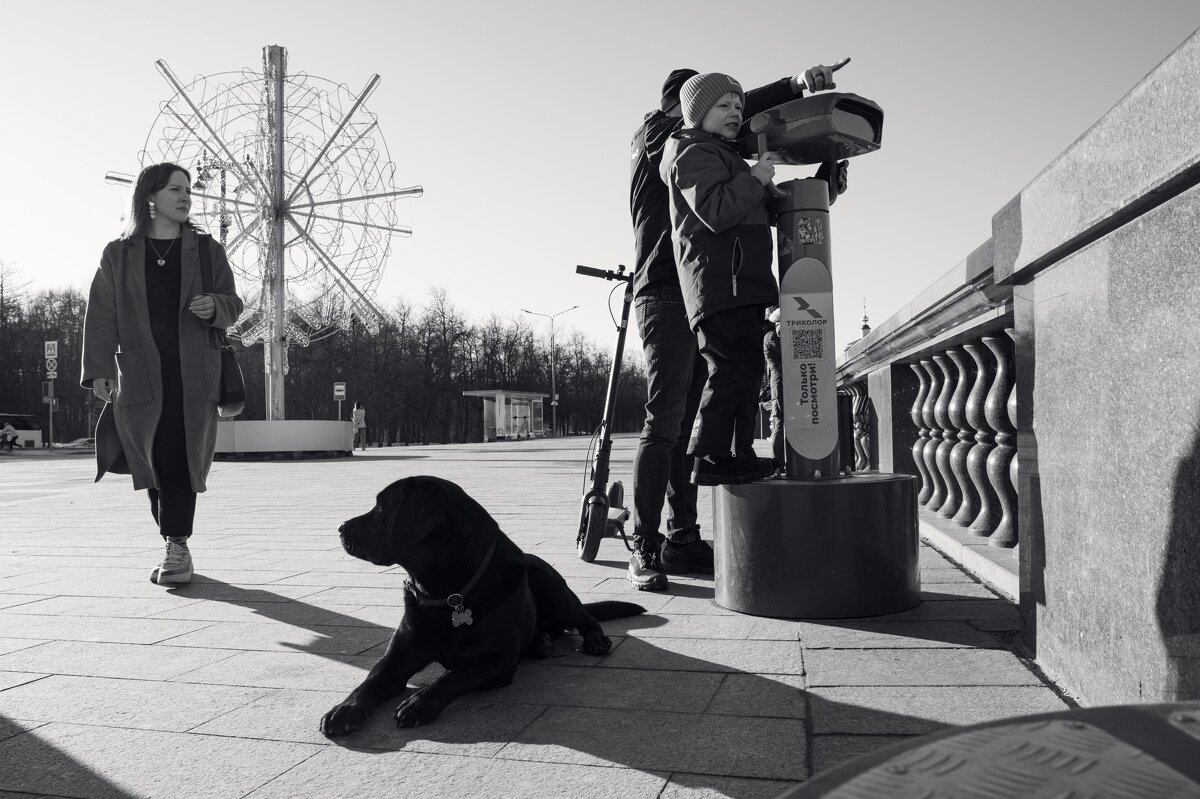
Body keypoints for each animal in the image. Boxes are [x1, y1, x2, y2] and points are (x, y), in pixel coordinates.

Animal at [316, 470, 638, 729]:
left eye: (382, 506)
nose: (340, 528)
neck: (445, 592)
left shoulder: (494, 661)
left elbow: (452, 676)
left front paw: (419, 702)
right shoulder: (398, 657)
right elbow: (370, 680)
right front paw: (344, 709)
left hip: (552, 587)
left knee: (585, 618)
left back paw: (593, 639)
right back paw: (540, 642)